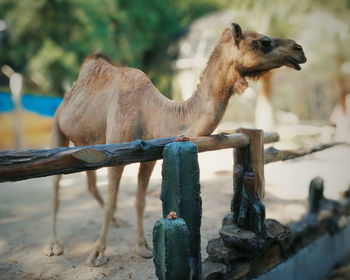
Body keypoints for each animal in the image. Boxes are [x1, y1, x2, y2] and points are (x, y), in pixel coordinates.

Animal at [43, 23, 306, 266]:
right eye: (263, 42)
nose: (299, 49)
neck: (154, 112)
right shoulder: (115, 153)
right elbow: (112, 202)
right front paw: (97, 254)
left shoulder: (147, 157)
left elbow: (139, 201)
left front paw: (143, 247)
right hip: (58, 127)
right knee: (55, 186)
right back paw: (53, 245)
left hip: (89, 143)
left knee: (89, 181)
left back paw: (117, 222)